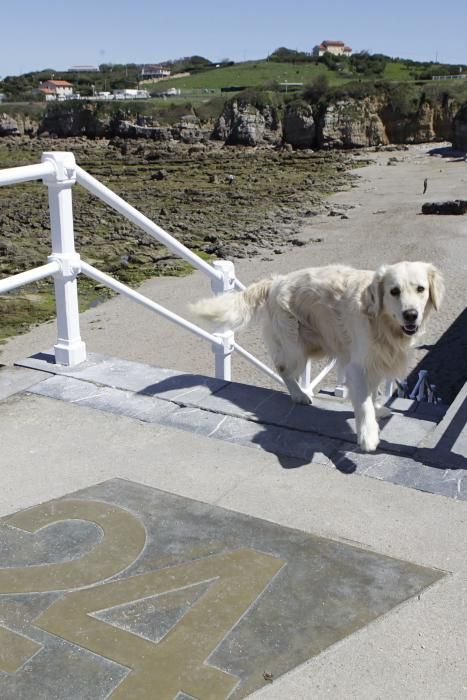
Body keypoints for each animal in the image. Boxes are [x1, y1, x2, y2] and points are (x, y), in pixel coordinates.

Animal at [192, 260, 444, 452]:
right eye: (394, 291)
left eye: (420, 289)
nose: (411, 315)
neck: (383, 324)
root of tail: (276, 281)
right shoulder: (358, 365)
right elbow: (363, 402)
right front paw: (368, 435)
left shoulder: (378, 360)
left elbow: (371, 393)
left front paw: (378, 410)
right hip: (295, 348)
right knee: (283, 369)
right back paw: (299, 395)